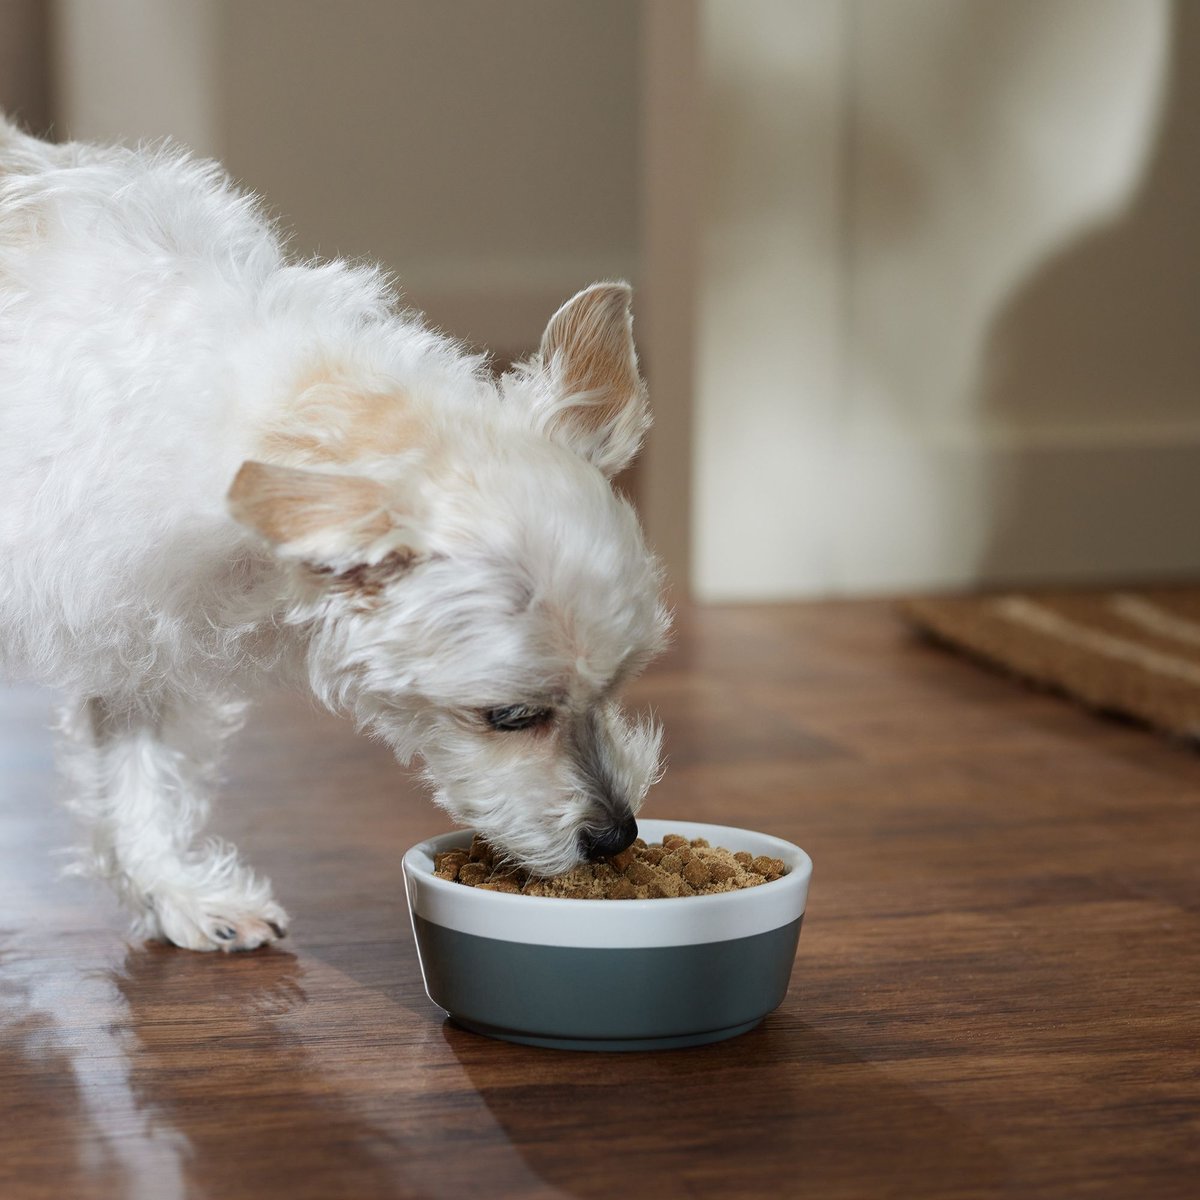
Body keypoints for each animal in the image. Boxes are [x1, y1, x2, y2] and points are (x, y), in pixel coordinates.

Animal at [0, 117, 672, 950]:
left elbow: (138, 777)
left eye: (620, 682)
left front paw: (176, 893)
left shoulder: (127, 624)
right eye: (509, 717)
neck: (289, 402)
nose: (616, 836)